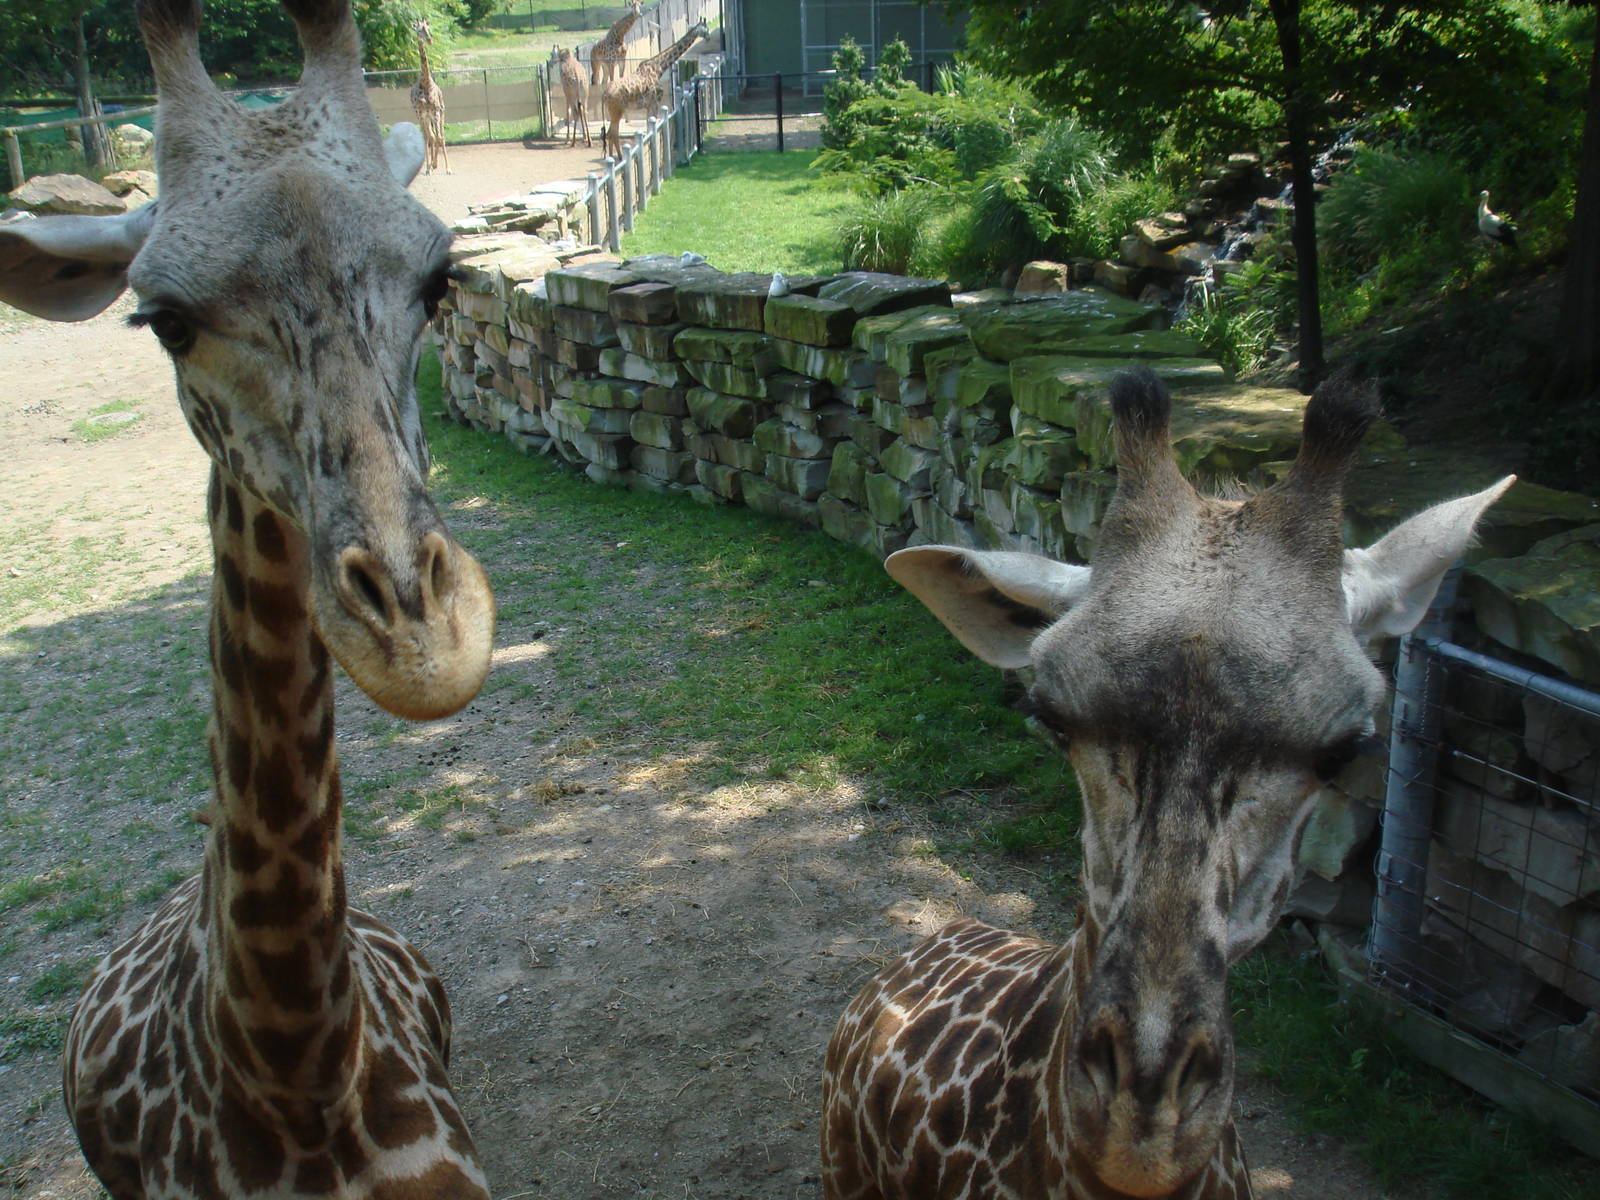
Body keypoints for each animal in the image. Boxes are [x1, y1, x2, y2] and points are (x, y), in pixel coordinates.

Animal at [599, 21, 706, 160]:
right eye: (705, 28)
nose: (708, 36)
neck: (659, 67)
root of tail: (604, 95)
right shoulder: (655, 102)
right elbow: (653, 131)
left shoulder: (649, 105)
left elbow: (648, 130)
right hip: (617, 111)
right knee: (613, 133)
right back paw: (621, 157)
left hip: (612, 112)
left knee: (609, 133)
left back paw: (612, 157)